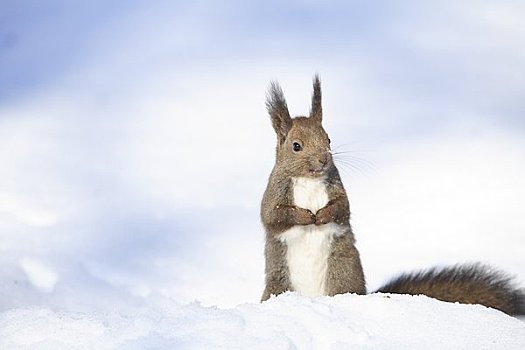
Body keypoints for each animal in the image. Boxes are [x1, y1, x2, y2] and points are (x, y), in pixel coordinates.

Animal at [258, 75, 524, 316]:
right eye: (296, 146)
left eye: (328, 139)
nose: (324, 160)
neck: (309, 179)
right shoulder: (274, 193)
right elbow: (273, 216)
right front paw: (305, 216)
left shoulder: (337, 187)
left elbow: (342, 207)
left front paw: (322, 215)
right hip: (279, 283)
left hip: (342, 274)